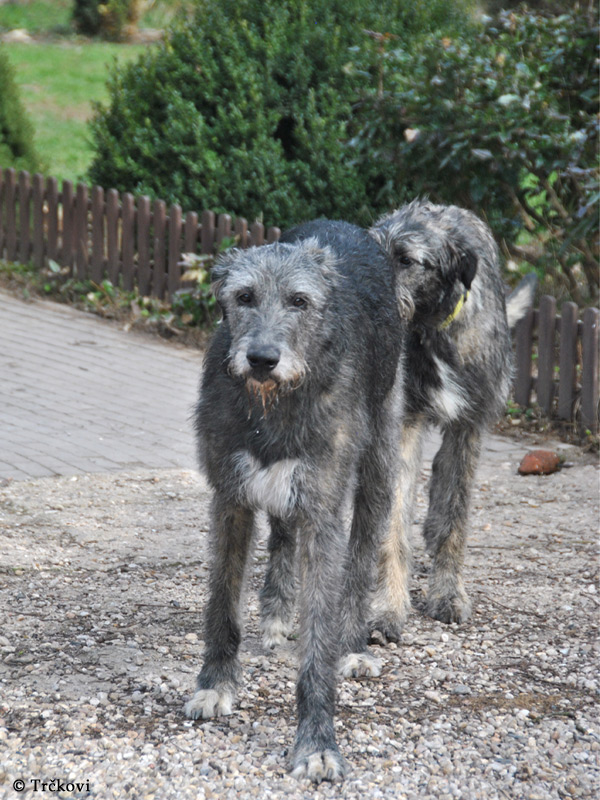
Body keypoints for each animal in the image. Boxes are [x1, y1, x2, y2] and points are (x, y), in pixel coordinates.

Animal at [185, 219, 406, 780]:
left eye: (299, 301)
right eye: (243, 296)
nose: (262, 359)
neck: (274, 405)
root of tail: (352, 229)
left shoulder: (323, 514)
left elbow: (318, 641)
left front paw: (316, 742)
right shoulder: (230, 499)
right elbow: (222, 604)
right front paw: (215, 685)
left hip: (378, 464)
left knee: (363, 554)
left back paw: (354, 646)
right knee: (282, 533)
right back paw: (278, 614)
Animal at [368, 200, 536, 644]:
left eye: (406, 260)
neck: (431, 329)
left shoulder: (469, 426)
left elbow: (455, 517)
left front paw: (447, 594)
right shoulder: (403, 422)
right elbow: (393, 524)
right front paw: (388, 608)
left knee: (442, 486)